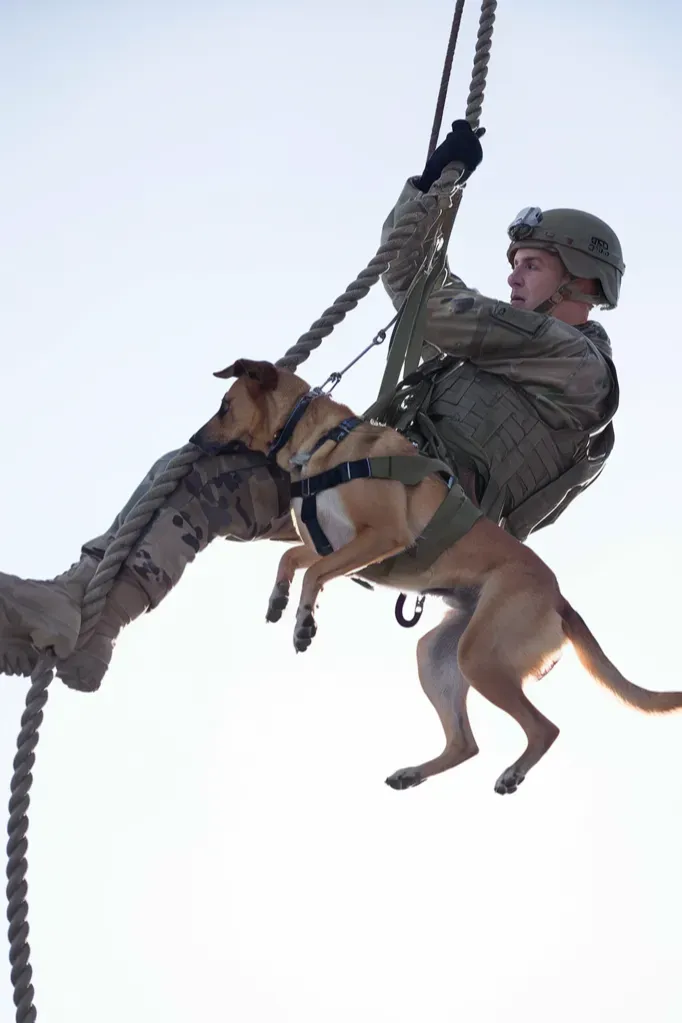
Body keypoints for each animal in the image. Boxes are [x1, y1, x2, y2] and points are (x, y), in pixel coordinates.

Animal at [191, 356, 682, 793]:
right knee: (465, 743)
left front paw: (303, 622)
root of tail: (561, 601)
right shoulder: (332, 543)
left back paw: (512, 773)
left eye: (224, 406)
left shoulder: (380, 536)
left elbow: (312, 572)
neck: (323, 443)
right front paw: (278, 599)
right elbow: (293, 560)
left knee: (545, 728)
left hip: (480, 655)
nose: (195, 441)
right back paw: (413, 773)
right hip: (438, 654)